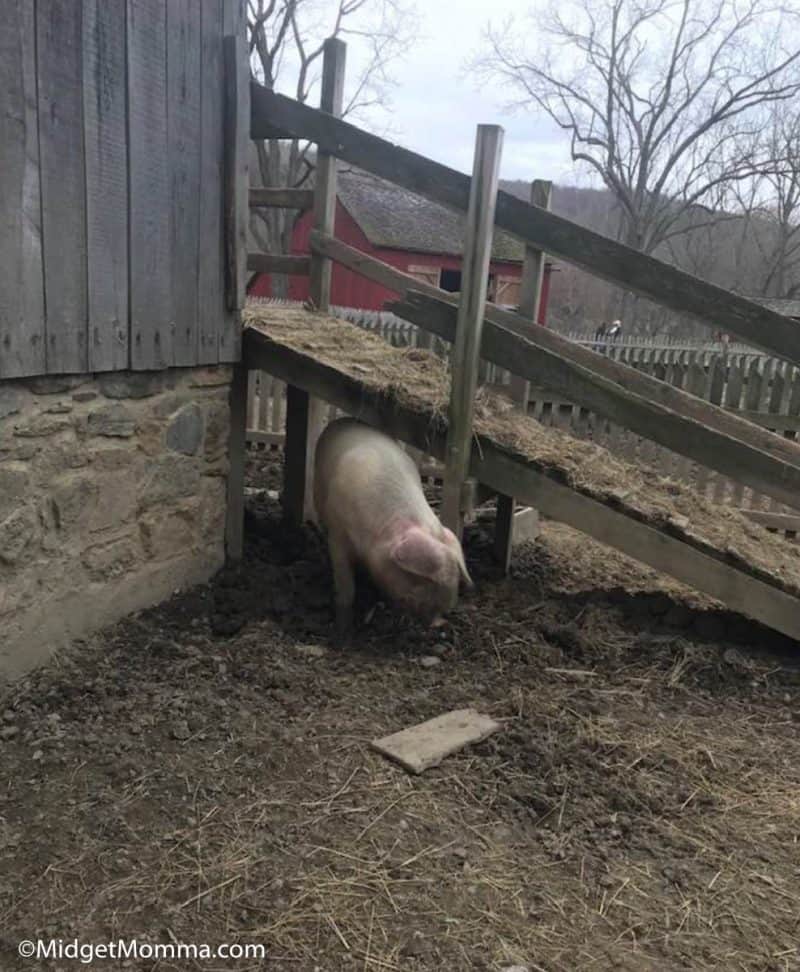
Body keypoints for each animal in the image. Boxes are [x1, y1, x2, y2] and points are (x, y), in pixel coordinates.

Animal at [312, 418, 472, 636]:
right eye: (420, 579)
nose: (438, 623)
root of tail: (342, 420)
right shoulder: (338, 534)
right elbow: (346, 585)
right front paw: (343, 630)